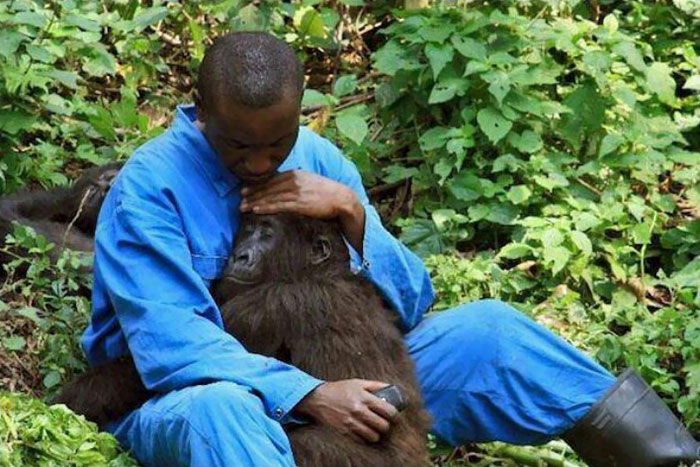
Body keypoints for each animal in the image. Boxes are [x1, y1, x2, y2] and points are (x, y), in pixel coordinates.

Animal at [56, 213, 432, 467]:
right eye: (246, 232)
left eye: (266, 234)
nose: (239, 255)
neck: (322, 270)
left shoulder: (267, 305)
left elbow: (165, 366)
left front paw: (69, 401)